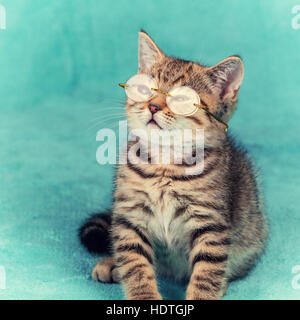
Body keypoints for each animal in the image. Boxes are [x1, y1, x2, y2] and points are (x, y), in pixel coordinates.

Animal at [79, 30, 268, 300]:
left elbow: (207, 271)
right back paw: (113, 264)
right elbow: (135, 263)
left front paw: (202, 294)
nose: (153, 106)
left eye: (181, 99)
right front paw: (144, 296)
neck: (164, 164)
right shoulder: (130, 216)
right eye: (144, 89)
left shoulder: (210, 224)